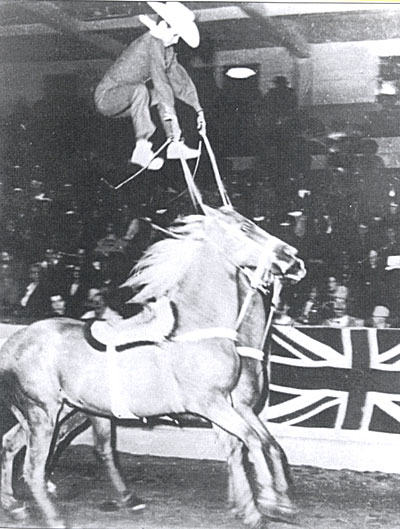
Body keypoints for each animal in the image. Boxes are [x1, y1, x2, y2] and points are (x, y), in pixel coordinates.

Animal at [0, 207, 304, 528]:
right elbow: (253, 442)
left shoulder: (230, 406)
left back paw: (16, 504)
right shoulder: (212, 404)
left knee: (13, 444)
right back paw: (54, 516)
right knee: (32, 468)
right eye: (245, 227)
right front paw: (266, 505)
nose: (294, 258)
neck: (196, 329)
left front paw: (258, 504)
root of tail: (12, 344)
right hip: (42, 414)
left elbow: (253, 444)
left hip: (67, 411)